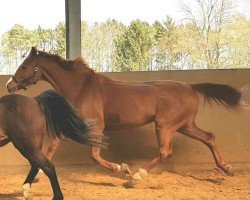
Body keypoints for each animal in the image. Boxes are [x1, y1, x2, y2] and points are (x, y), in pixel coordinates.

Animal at [6, 46, 242, 178]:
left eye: (25, 66)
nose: (9, 85)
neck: (82, 88)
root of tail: (192, 87)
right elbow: (52, 147)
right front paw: (35, 178)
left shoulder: (97, 126)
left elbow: (95, 156)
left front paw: (122, 168)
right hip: (185, 125)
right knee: (209, 137)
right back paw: (227, 168)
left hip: (165, 126)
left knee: (166, 151)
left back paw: (138, 175)